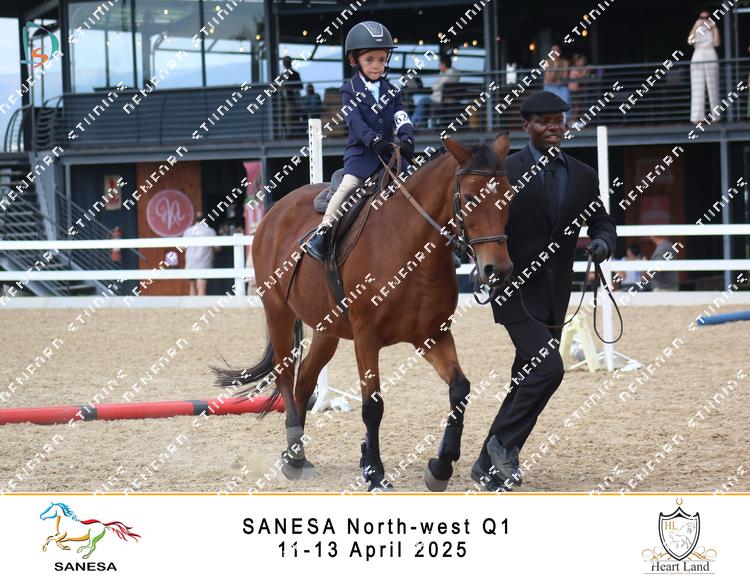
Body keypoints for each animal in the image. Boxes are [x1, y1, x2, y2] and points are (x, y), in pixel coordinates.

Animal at [214, 133, 514, 491]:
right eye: (469, 198)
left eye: (510, 194)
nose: (497, 270)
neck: (410, 249)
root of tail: (276, 211)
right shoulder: (366, 339)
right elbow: (373, 406)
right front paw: (375, 472)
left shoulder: (433, 336)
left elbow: (460, 390)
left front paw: (440, 466)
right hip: (278, 313)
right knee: (286, 374)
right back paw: (294, 452)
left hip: (326, 330)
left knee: (305, 380)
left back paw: (296, 455)